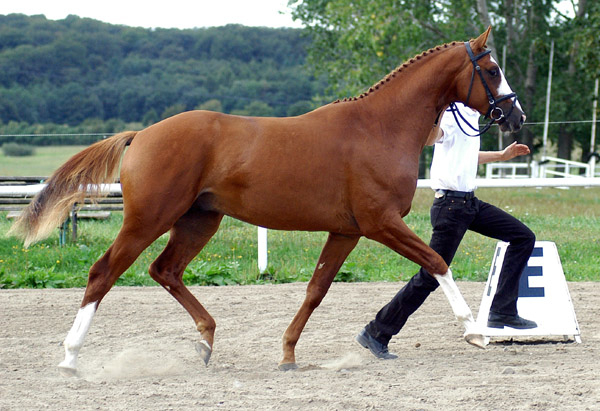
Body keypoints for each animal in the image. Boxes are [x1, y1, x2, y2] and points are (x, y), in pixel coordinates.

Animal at [10, 25, 524, 374]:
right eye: (492, 70)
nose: (516, 116)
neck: (379, 128)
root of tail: (142, 135)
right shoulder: (381, 223)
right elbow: (437, 263)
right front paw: (475, 331)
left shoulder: (347, 231)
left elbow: (316, 290)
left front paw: (288, 354)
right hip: (147, 219)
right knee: (104, 273)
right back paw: (71, 358)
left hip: (198, 221)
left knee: (165, 270)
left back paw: (205, 343)